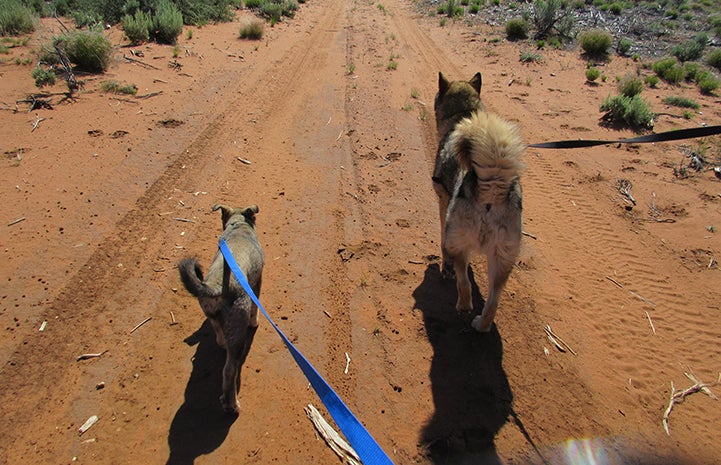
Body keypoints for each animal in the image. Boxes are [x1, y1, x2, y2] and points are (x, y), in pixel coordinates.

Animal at [178, 203, 264, 410]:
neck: (239, 225)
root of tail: (217, 286)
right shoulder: (257, 282)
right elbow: (255, 308)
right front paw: (255, 322)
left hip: (214, 317)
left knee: (219, 337)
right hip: (238, 332)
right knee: (229, 370)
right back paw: (232, 405)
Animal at [430, 72, 524, 332]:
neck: (463, 116)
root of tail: (491, 192)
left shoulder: (443, 204)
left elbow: (442, 243)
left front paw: (446, 268)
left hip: (461, 242)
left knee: (464, 283)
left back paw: (463, 306)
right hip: (503, 261)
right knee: (493, 302)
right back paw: (481, 324)